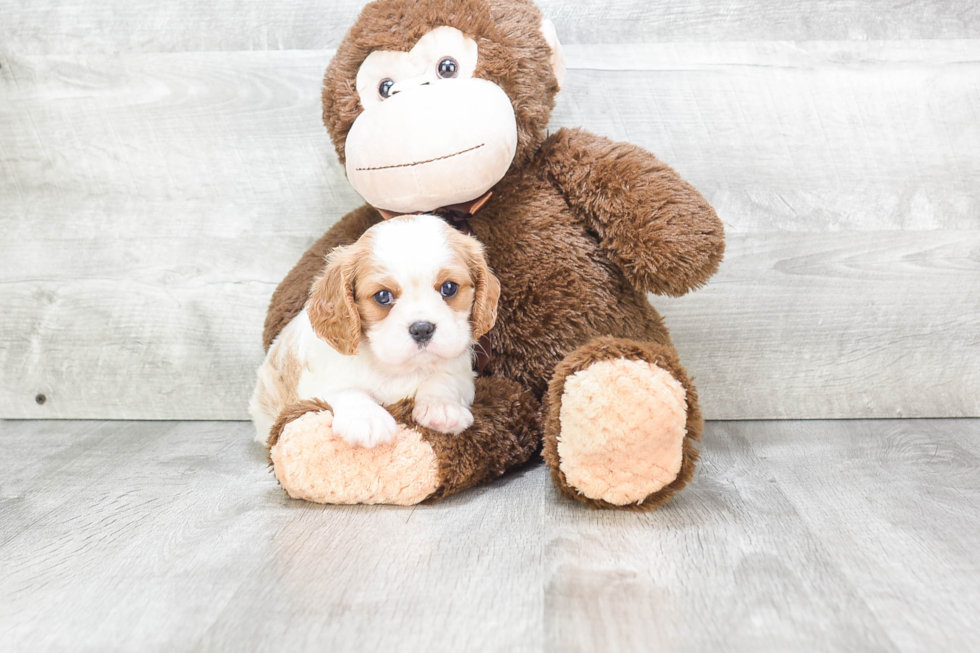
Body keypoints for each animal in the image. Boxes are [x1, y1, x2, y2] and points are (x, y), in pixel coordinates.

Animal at [249, 214, 502, 448]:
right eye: (382, 296)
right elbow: (348, 391)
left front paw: (442, 407)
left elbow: (443, 381)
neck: (398, 369)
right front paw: (367, 418)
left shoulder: (462, 374)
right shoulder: (319, 385)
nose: (422, 329)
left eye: (449, 288)